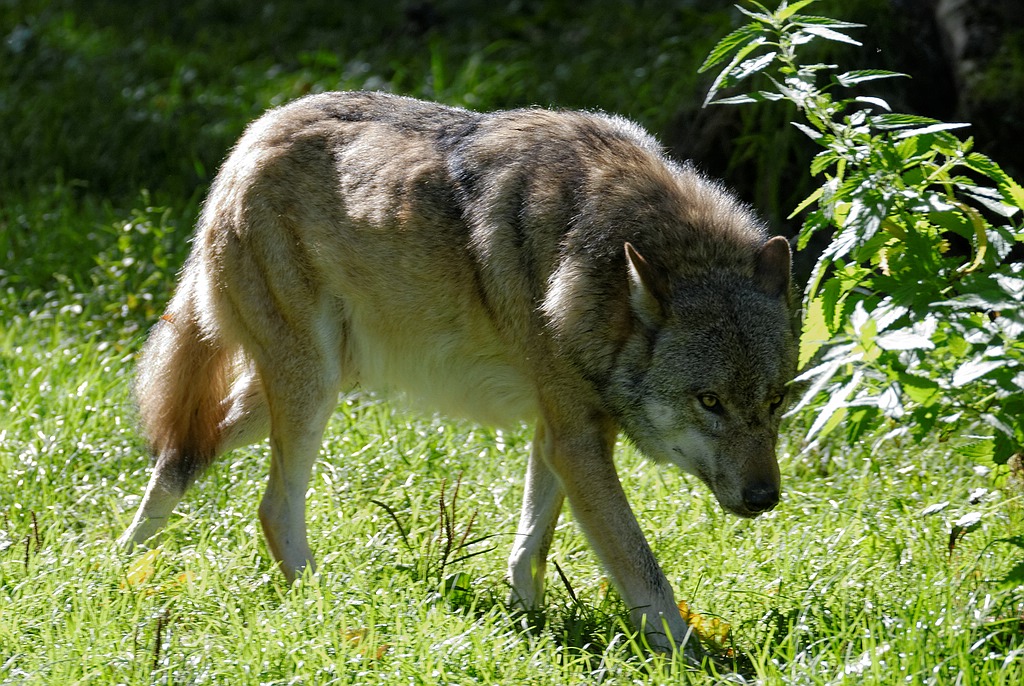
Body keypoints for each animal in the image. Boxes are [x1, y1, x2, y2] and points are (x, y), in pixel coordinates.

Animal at [117, 90, 797, 657]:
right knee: (270, 507)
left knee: (183, 454)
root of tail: (251, 138)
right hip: (310, 394)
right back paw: (327, 610)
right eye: (709, 401)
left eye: (774, 402)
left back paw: (118, 568)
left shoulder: (564, 434)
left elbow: (529, 549)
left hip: (308, 390)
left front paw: (531, 627)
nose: (766, 499)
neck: (590, 255)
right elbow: (642, 569)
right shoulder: (577, 440)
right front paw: (692, 659)